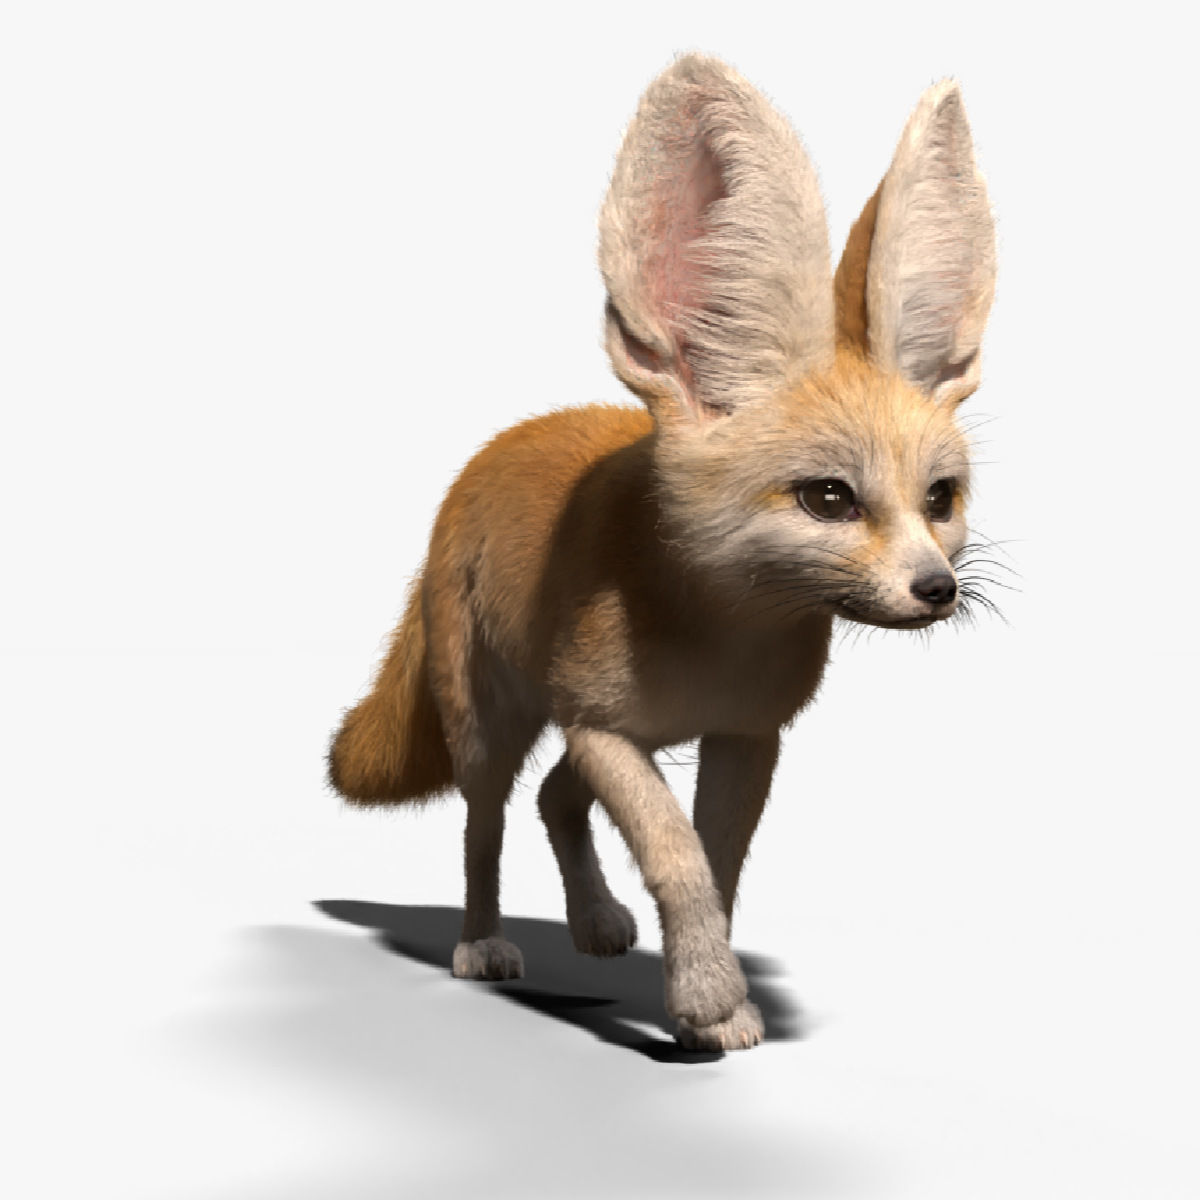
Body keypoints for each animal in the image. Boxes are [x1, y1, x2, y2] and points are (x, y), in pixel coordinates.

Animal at [328, 53, 997, 1052]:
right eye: (828, 498)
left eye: (940, 500)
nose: (938, 588)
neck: (715, 638)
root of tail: (492, 450)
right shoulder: (606, 729)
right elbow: (676, 853)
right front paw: (710, 997)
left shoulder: (743, 734)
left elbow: (713, 864)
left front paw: (706, 996)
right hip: (495, 725)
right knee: (486, 823)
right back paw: (483, 943)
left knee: (552, 798)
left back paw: (596, 922)